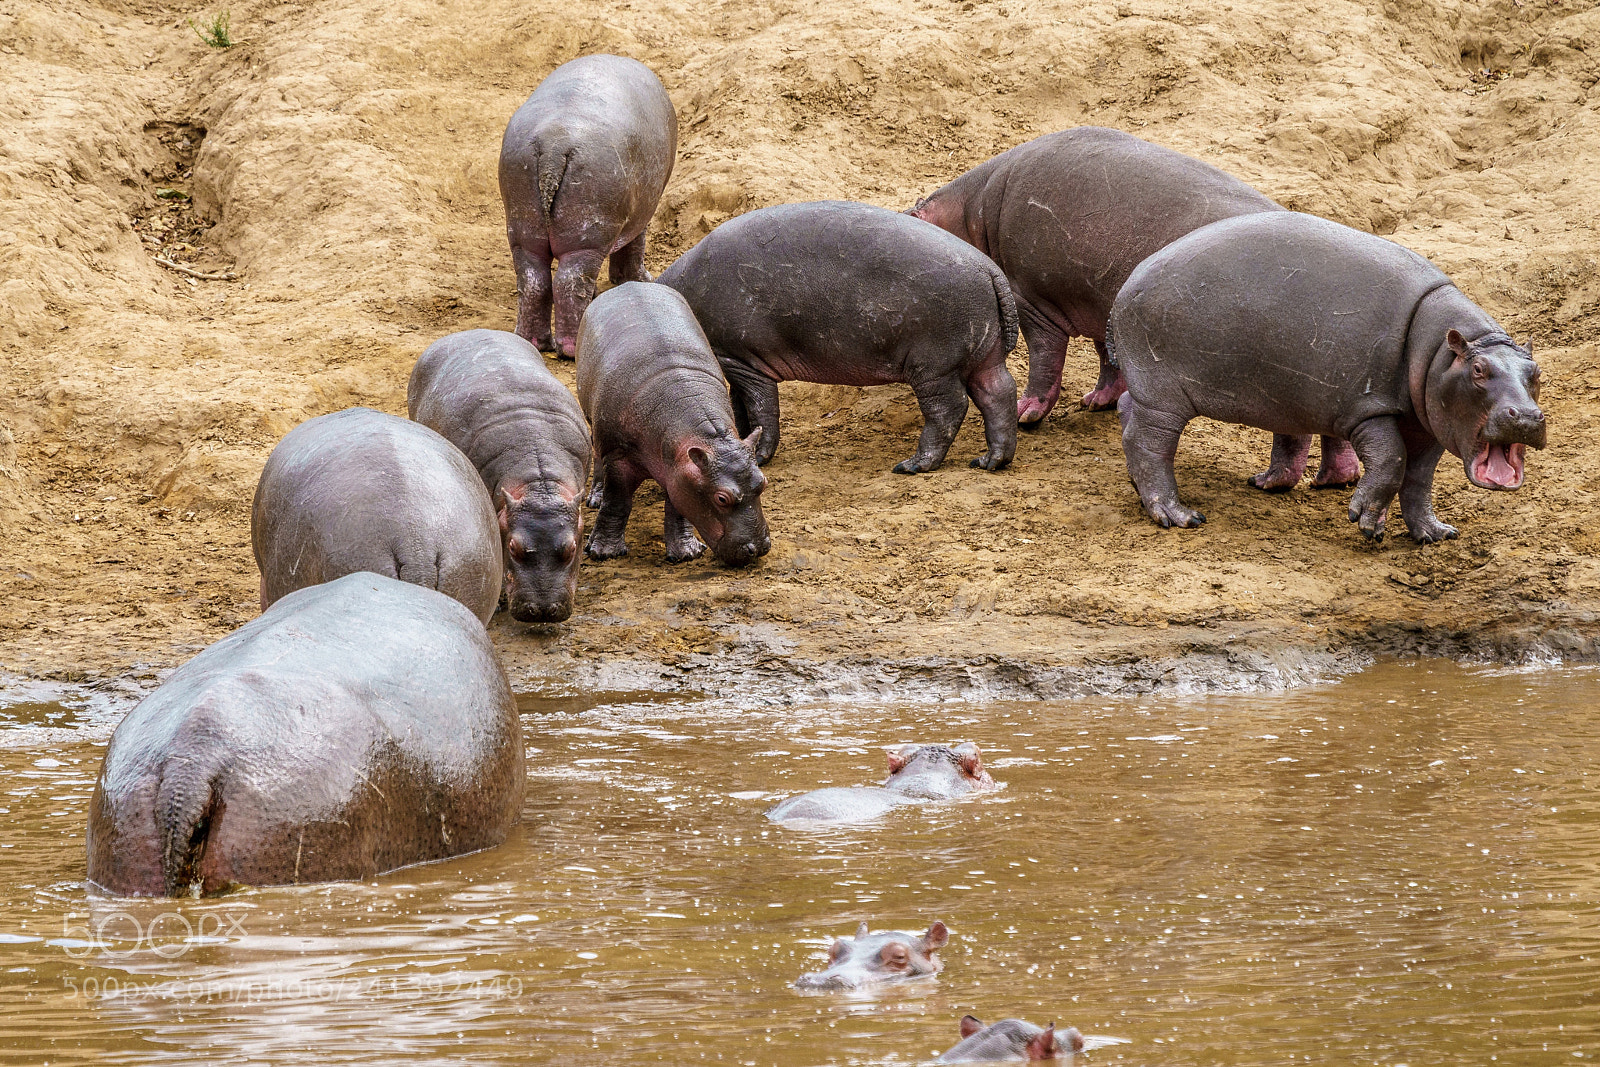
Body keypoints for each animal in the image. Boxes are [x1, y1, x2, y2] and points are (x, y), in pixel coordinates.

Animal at [500, 54, 677, 358]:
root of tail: (554, 145)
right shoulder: (642, 209)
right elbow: (636, 244)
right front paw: (641, 279)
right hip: (587, 237)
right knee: (570, 282)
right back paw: (571, 347)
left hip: (524, 230)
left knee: (535, 281)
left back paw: (536, 342)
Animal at [576, 281, 770, 566]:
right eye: (722, 498)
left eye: (763, 482)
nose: (759, 548)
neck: (709, 438)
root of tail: (627, 285)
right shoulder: (617, 454)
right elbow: (617, 502)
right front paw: (603, 552)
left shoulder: (680, 469)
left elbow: (678, 508)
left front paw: (687, 553)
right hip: (597, 426)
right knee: (598, 456)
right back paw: (595, 499)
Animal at [657, 200, 1019, 475]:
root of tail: (989, 269)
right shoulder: (734, 365)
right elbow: (737, 408)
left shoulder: (742, 360)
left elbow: (761, 407)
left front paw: (759, 457)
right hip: (983, 356)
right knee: (999, 393)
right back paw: (990, 462)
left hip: (934, 365)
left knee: (947, 408)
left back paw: (911, 466)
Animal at [906, 126, 1358, 488]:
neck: (969, 216)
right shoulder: (1100, 301)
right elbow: (1107, 358)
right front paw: (1096, 401)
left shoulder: (1034, 304)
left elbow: (1046, 363)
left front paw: (1026, 414)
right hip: (1325, 364)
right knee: (1333, 424)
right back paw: (1336, 480)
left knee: (1297, 427)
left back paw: (1273, 482)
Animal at [1109, 212, 1547, 541]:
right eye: (1478, 370)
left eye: (1536, 372)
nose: (1527, 416)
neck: (1440, 351)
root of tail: (1131, 279)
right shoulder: (1365, 408)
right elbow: (1392, 461)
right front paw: (1366, 522)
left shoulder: (1431, 426)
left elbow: (1419, 481)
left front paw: (1435, 534)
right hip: (1162, 396)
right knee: (1147, 444)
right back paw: (1178, 516)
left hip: (1151, 390)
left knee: (1129, 414)